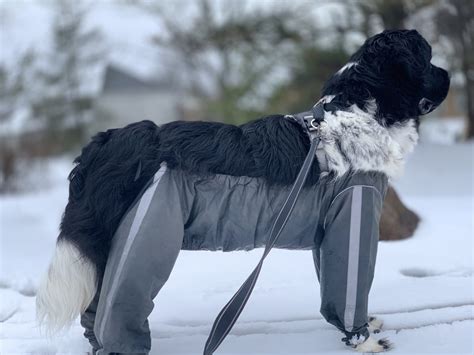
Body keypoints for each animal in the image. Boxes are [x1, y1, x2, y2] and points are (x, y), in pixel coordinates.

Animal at [37, 29, 448, 354]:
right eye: (428, 57)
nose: (448, 73)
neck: (359, 111)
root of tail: (108, 141)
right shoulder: (353, 214)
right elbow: (349, 291)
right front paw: (364, 342)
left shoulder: (329, 230)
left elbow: (331, 287)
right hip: (141, 238)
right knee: (115, 309)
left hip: (108, 245)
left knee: (94, 311)